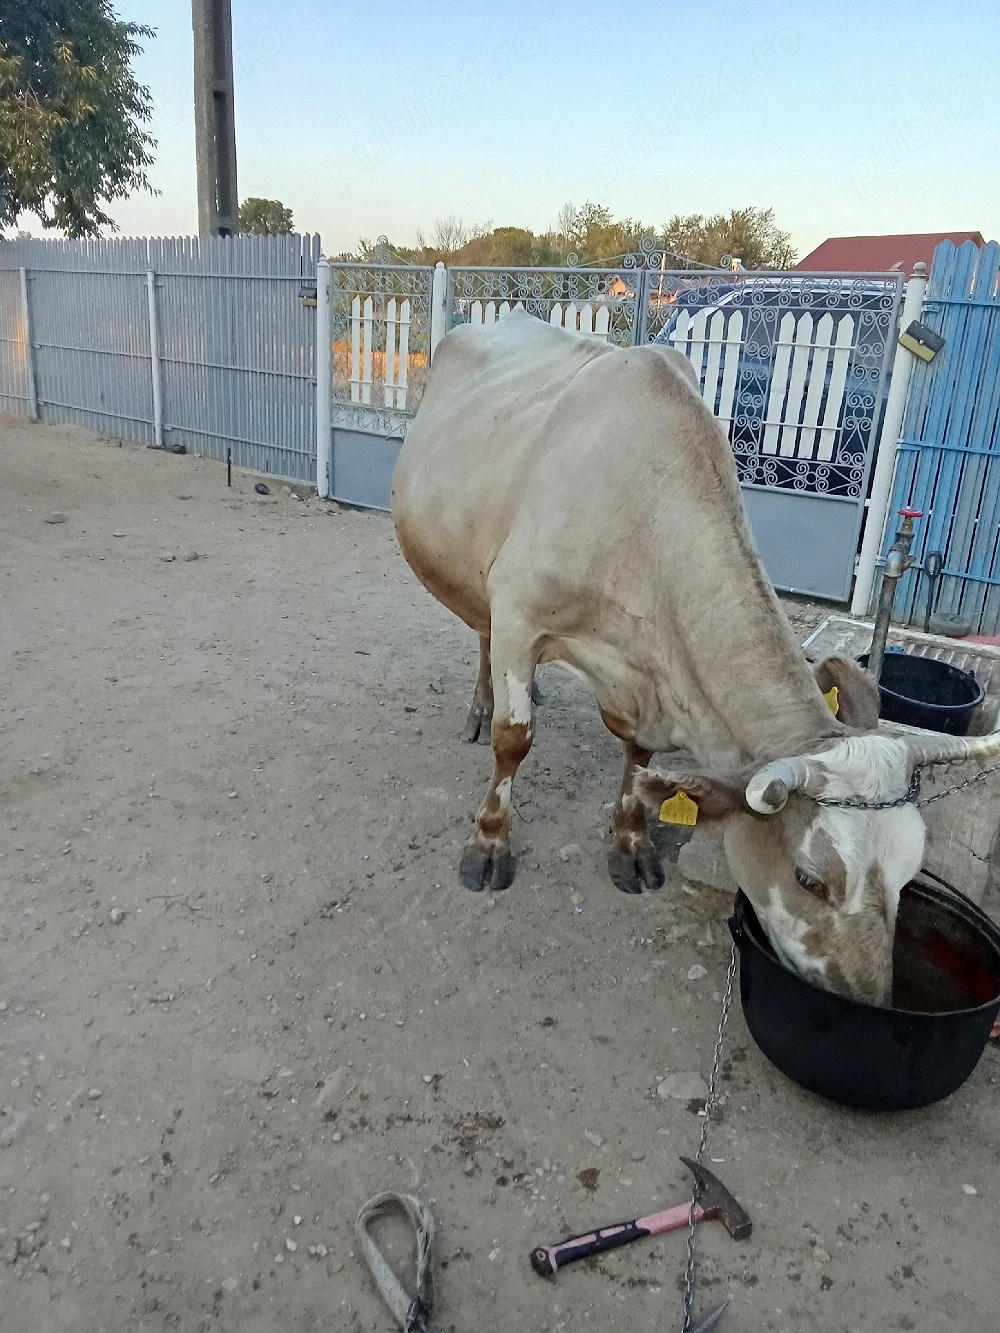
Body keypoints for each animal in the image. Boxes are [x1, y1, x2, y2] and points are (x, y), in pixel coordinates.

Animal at [391, 311, 1000, 1005]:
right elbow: (513, 740)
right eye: (809, 879)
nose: (868, 999)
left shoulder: (642, 678)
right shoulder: (520, 607)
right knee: (483, 635)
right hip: (474, 575)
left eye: (909, 873)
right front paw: (489, 842)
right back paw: (481, 705)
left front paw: (631, 841)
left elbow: (640, 757)